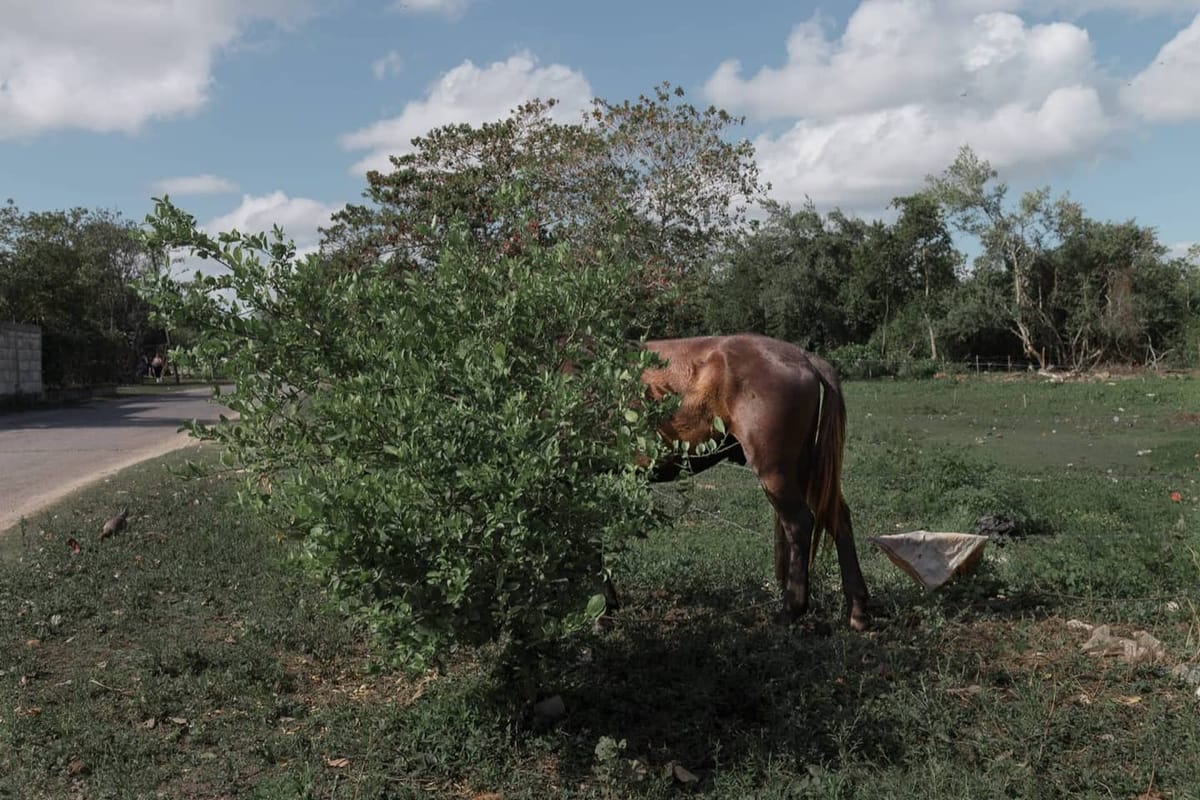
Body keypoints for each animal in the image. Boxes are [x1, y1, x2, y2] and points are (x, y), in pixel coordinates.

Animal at [638, 333, 873, 633]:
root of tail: (802, 356)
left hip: (775, 472)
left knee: (800, 524)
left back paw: (790, 610)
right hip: (805, 466)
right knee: (836, 518)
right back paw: (858, 610)